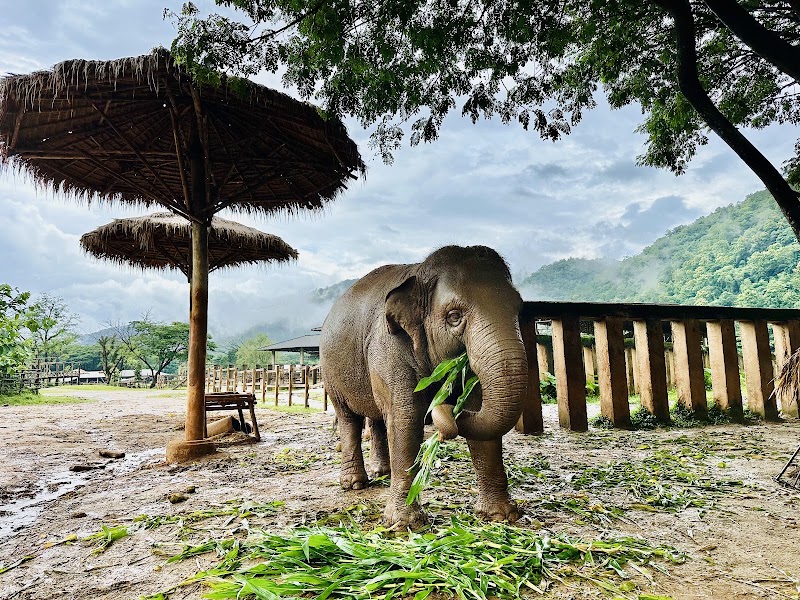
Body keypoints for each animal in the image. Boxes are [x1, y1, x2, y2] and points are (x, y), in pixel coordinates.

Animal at [320, 245, 529, 529]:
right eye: (454, 317)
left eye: (518, 309)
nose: (447, 407)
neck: (418, 275)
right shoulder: (388, 346)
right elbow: (405, 417)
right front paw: (404, 524)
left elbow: (481, 415)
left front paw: (500, 516)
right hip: (331, 373)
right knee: (348, 419)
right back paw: (354, 484)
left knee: (376, 417)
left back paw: (382, 472)